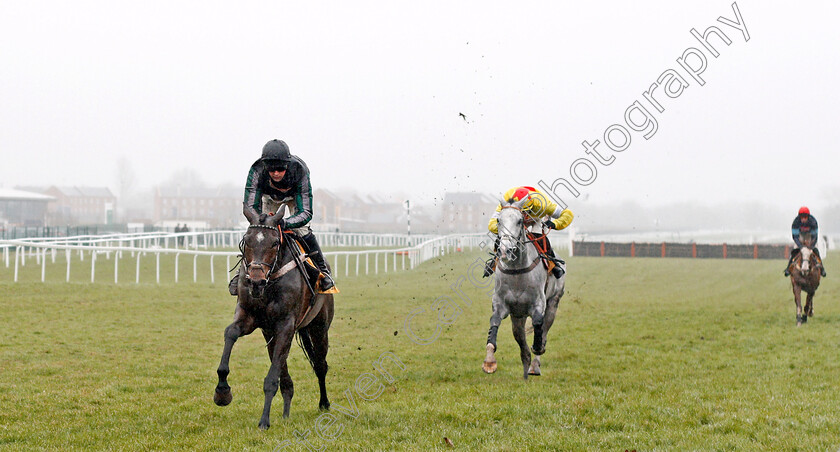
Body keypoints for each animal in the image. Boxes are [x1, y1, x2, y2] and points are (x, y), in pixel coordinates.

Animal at [213, 205, 334, 428]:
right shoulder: (250, 316)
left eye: (275, 242)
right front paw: (222, 391)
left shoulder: (286, 325)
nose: (256, 281)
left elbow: (271, 379)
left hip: (319, 327)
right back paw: (286, 412)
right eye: (247, 240)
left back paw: (324, 403)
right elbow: (230, 333)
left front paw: (264, 421)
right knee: (285, 375)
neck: (269, 286)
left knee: (320, 365)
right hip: (270, 334)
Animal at [482, 200, 568, 380]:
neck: (517, 270)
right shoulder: (501, 304)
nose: (505, 250)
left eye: (520, 220)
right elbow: (494, 323)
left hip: (553, 302)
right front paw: (489, 361)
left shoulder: (538, 304)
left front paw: (538, 346)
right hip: (518, 316)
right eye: (499, 220)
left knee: (545, 329)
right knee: (521, 342)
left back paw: (534, 365)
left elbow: (538, 325)